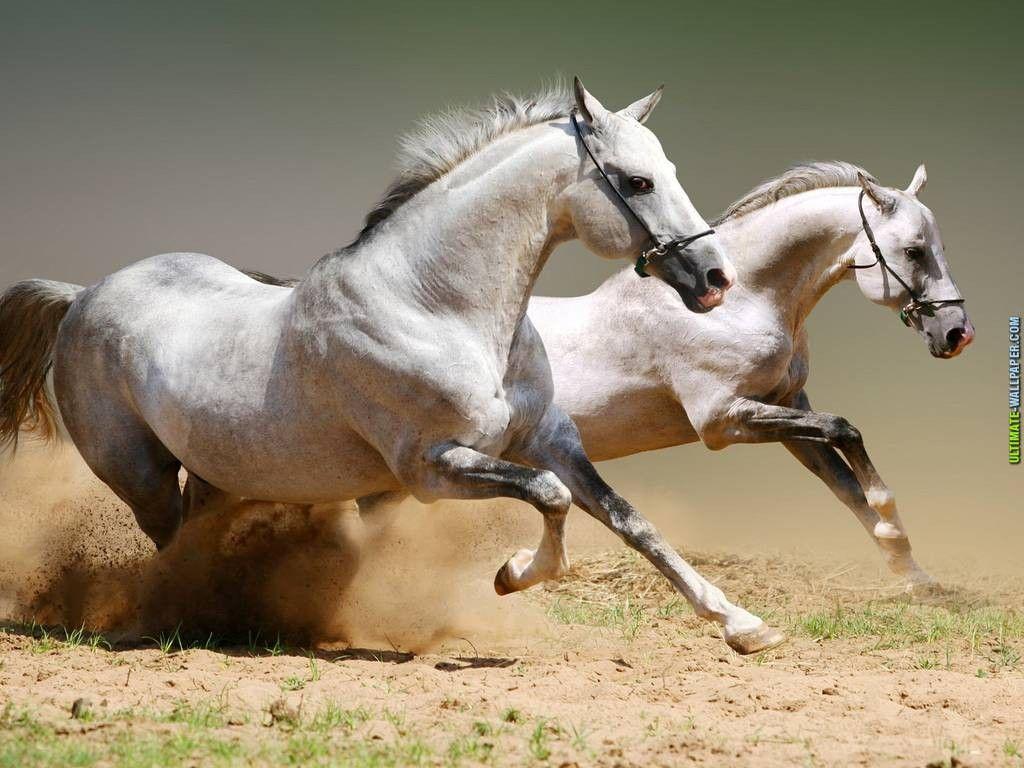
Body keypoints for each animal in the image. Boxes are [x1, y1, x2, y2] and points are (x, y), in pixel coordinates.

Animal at [0, 80, 791, 654]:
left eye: (668, 171)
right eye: (635, 182)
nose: (715, 278)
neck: (436, 306)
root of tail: (82, 295)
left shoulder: (549, 439)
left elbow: (630, 520)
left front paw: (744, 626)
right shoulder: (432, 468)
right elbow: (550, 498)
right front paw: (512, 576)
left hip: (218, 475)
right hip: (140, 476)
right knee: (168, 546)